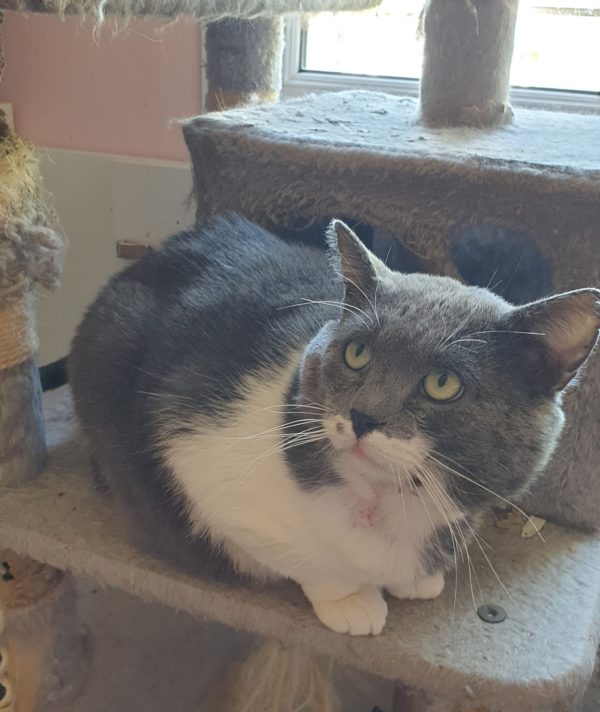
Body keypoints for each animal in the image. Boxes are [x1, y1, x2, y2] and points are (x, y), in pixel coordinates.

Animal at [69, 215, 600, 636]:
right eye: (357, 353)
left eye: (443, 383)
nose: (363, 416)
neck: (390, 503)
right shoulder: (199, 459)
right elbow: (307, 559)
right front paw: (353, 601)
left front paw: (417, 580)